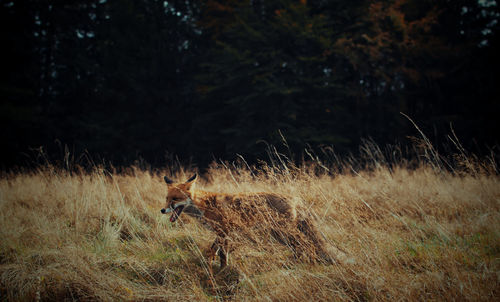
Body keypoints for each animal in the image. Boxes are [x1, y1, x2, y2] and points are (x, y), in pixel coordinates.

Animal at [160, 173, 332, 270]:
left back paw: (308, 264)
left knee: (308, 245)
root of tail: (295, 198)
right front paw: (213, 263)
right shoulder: (221, 233)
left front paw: (223, 270)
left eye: (175, 199)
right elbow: (213, 250)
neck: (205, 206)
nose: (162, 210)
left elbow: (222, 254)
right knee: (301, 248)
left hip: (284, 233)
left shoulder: (224, 231)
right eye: (166, 198)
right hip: (281, 235)